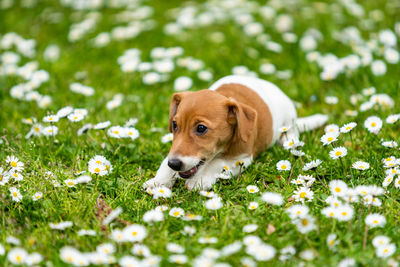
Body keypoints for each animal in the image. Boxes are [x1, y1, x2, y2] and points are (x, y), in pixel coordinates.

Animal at [144, 75, 328, 191]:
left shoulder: (241, 159)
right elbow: (164, 163)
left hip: (289, 121)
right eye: (174, 125)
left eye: (201, 128)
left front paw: (199, 181)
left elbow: (216, 163)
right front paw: (158, 181)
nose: (174, 164)